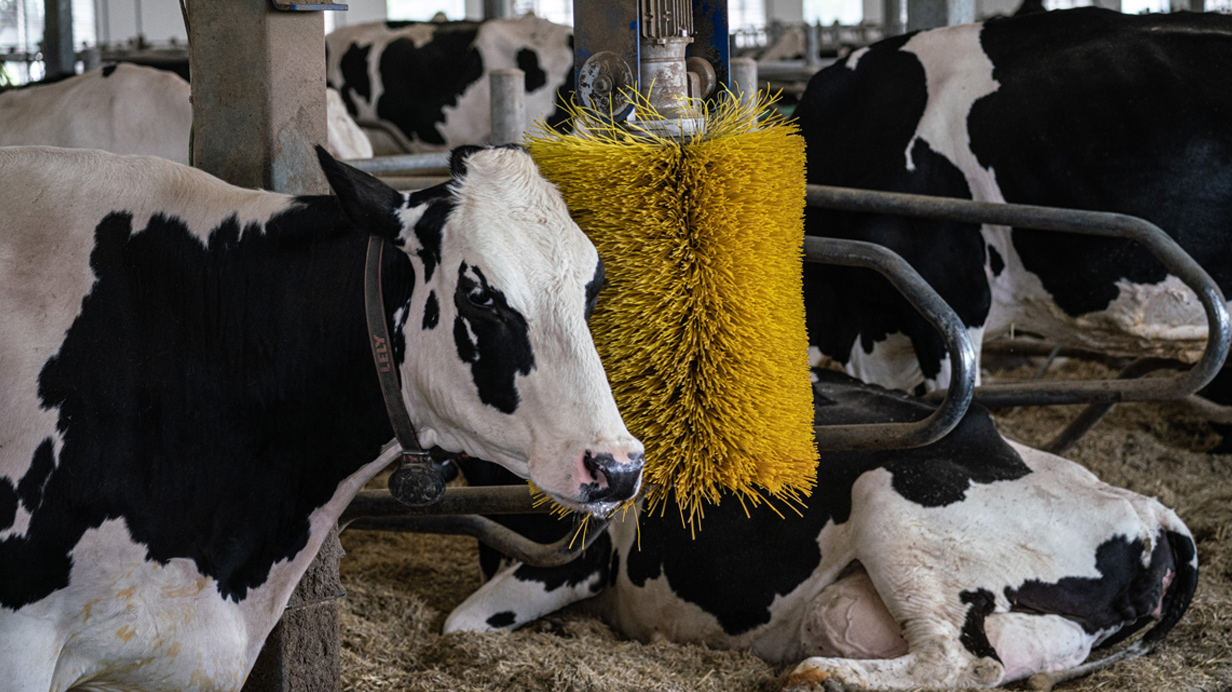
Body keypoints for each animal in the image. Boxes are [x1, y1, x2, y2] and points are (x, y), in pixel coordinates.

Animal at [444, 369, 1196, 690]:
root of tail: (1151, 511)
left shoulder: (571, 555)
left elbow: (457, 626)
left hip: (893, 499)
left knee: (961, 661)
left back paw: (825, 677)